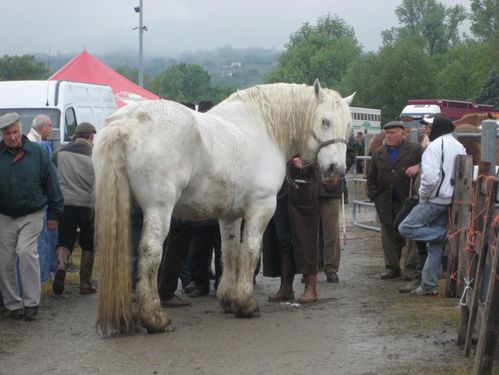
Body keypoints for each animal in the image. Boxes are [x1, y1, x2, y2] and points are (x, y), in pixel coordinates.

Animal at [93, 81, 352, 336]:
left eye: (349, 125)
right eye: (325, 121)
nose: (335, 170)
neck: (263, 129)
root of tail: (128, 120)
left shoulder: (230, 215)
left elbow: (229, 251)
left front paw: (228, 300)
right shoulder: (261, 208)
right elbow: (250, 250)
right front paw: (246, 304)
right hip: (159, 209)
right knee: (150, 254)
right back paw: (155, 318)